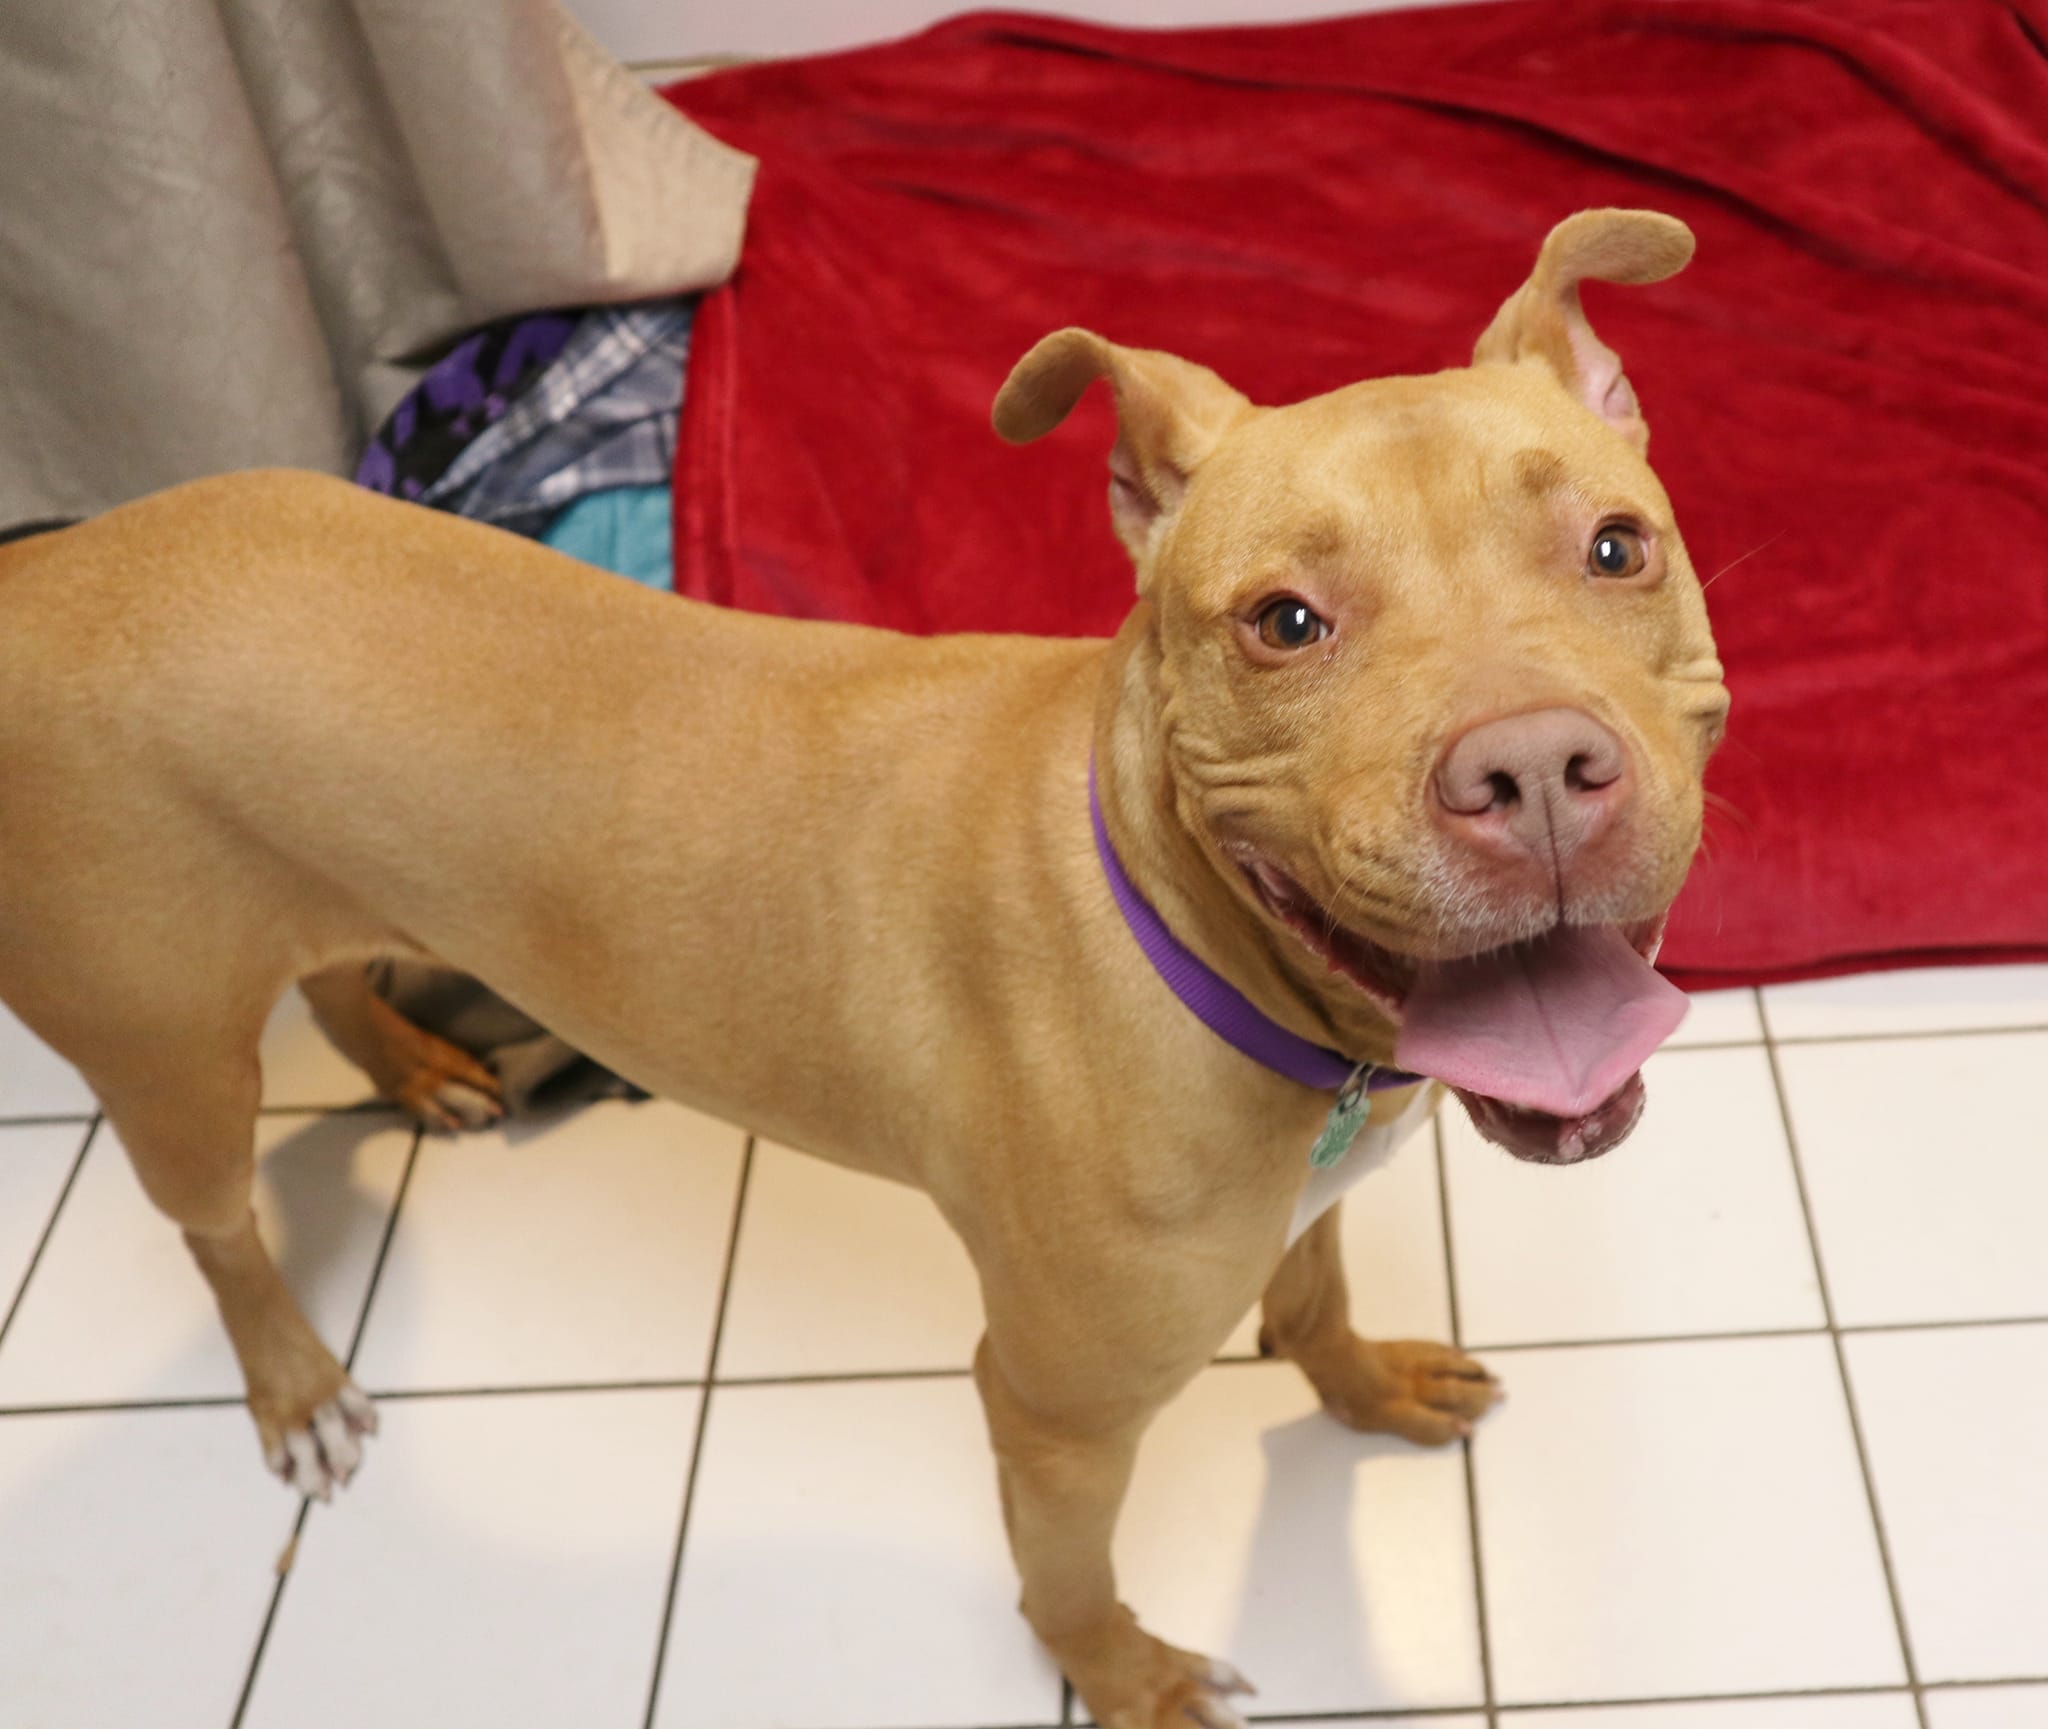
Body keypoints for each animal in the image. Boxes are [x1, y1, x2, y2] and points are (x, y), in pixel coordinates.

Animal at [0, 208, 1728, 1720]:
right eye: (1284, 622)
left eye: (1616, 545)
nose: (1535, 770)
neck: (1199, 944)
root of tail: (42, 573)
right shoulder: (1048, 1408)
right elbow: (1066, 1582)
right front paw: (1128, 1682)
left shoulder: (1306, 1202)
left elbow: (1309, 1306)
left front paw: (1365, 1387)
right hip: (162, 1052)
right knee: (217, 1227)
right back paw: (295, 1386)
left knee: (323, 970)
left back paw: (412, 1065)